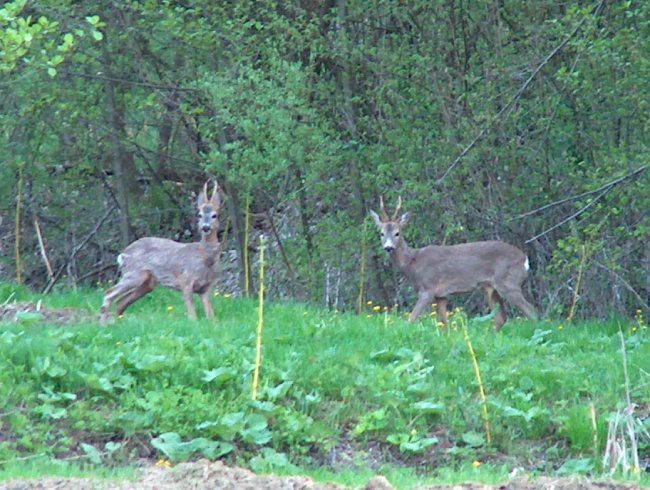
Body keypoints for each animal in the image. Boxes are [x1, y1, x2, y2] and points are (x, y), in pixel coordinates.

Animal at [100, 181, 223, 326]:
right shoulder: (185, 281)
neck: (205, 259)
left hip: (148, 282)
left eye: (215, 215)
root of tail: (122, 254)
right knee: (109, 293)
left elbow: (211, 317)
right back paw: (103, 324)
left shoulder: (206, 287)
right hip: (134, 274)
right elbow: (192, 316)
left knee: (120, 302)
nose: (205, 227)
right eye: (199, 215)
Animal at [370, 197, 536, 332]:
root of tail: (525, 259)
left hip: (509, 282)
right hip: (491, 288)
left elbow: (410, 319)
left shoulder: (428, 289)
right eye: (381, 233)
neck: (413, 263)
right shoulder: (441, 295)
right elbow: (444, 324)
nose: (388, 247)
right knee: (501, 318)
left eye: (397, 233)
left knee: (531, 311)